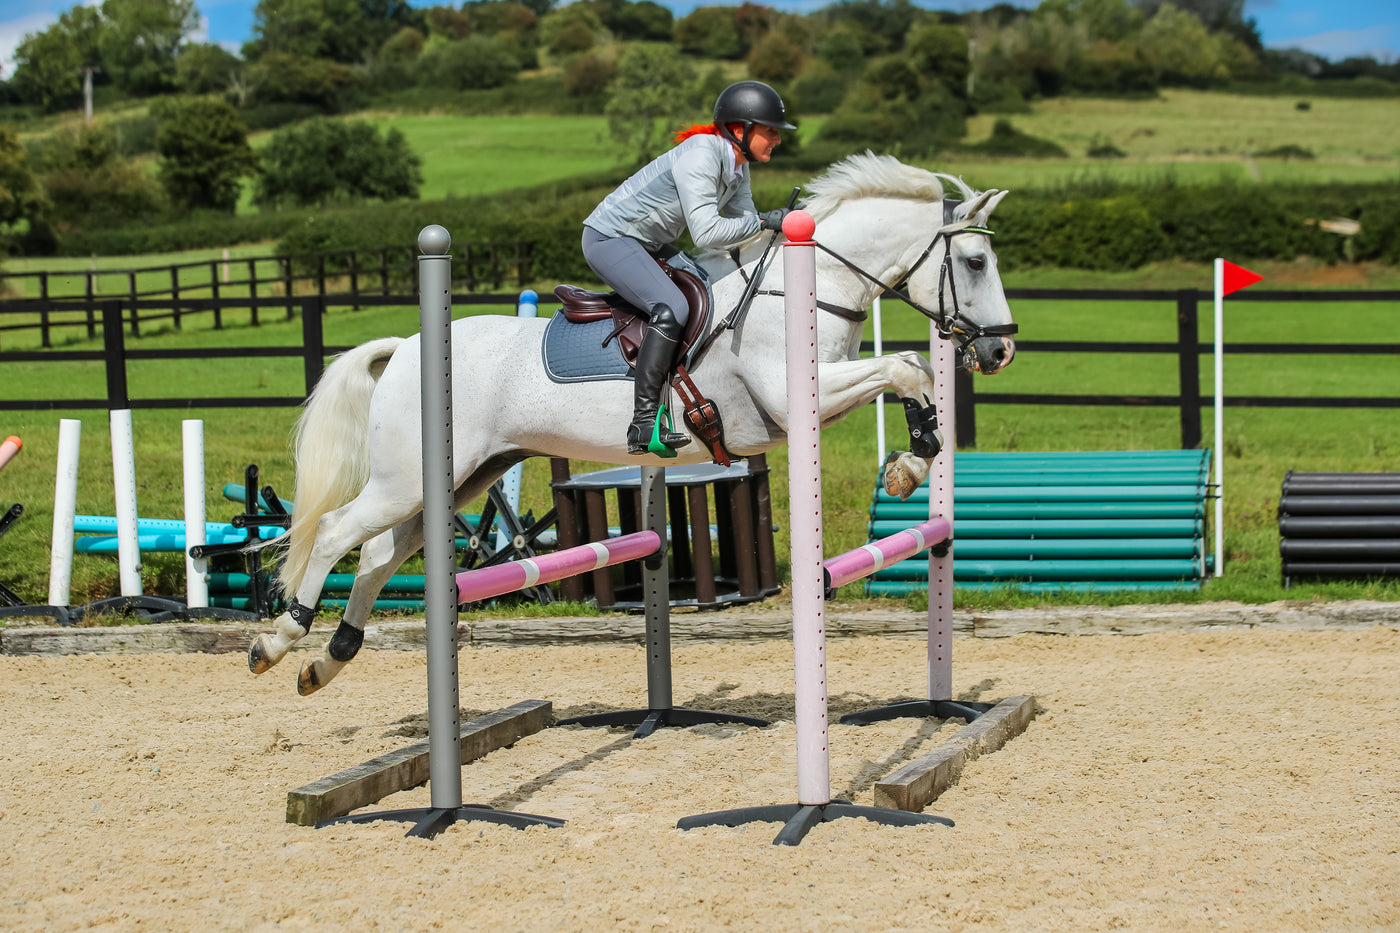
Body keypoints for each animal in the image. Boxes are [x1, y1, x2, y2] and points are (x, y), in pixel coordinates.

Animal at [248, 151, 1018, 695]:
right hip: (407, 478)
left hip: (461, 478)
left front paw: (913, 460)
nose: (1001, 350)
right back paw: (280, 636)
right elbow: (906, 367)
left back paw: (328, 659)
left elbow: (911, 367)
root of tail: (407, 346)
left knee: (381, 552)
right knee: (337, 532)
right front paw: (911, 460)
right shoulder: (792, 394)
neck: (807, 287)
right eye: (976, 260)